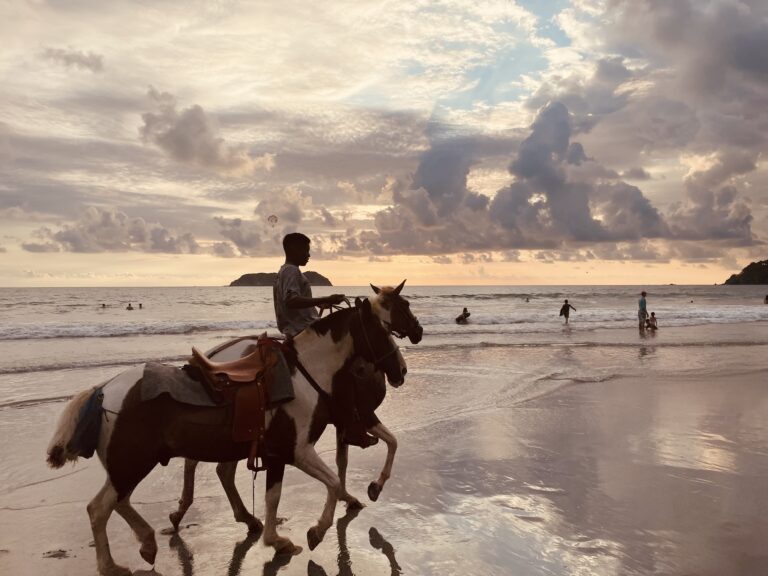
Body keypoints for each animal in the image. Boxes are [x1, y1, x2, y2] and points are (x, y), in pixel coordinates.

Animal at [167, 284, 424, 536]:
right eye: (404, 305)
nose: (402, 370)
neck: (314, 366)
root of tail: (212, 357)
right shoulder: (362, 416)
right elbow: (388, 444)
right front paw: (372, 488)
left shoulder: (344, 424)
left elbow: (351, 457)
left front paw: (350, 496)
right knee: (209, 466)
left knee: (213, 468)